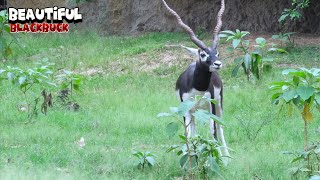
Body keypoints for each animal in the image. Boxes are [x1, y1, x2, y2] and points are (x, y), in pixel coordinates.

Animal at [162, 0, 230, 161]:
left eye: (217, 52)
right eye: (203, 54)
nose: (218, 64)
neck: (197, 87)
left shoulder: (211, 104)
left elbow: (213, 130)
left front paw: (216, 158)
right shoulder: (185, 108)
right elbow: (188, 134)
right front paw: (190, 158)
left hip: (218, 104)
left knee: (220, 125)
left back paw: (226, 156)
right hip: (194, 111)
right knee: (193, 127)